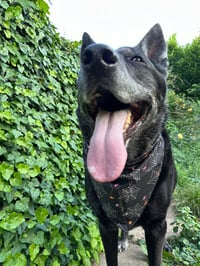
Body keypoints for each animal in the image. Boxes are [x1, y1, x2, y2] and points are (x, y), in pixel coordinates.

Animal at [76, 23, 177, 264]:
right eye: (82, 60)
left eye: (137, 59)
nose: (94, 55)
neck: (126, 172)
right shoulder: (105, 224)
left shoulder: (157, 226)